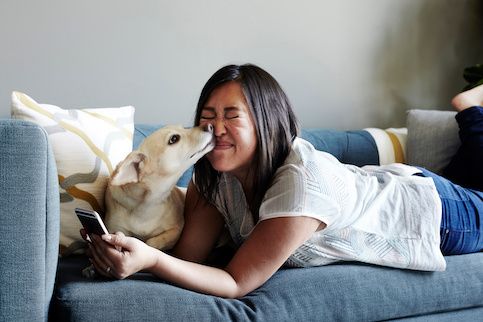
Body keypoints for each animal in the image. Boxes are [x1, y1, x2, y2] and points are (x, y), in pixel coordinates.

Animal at [82, 123, 214, 276]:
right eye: (174, 139)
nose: (209, 125)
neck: (148, 204)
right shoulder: (115, 229)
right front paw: (91, 267)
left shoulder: (176, 229)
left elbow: (151, 242)